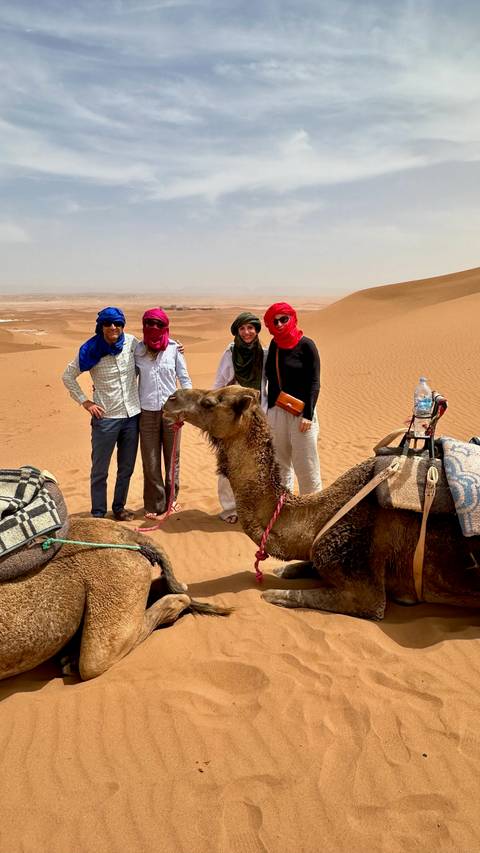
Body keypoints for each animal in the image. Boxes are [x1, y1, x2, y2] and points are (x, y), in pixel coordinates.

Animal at [163, 386, 480, 619]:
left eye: (209, 402)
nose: (170, 398)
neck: (320, 514)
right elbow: (293, 567)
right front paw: (284, 571)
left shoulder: (361, 580)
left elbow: (290, 594)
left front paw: (272, 593)